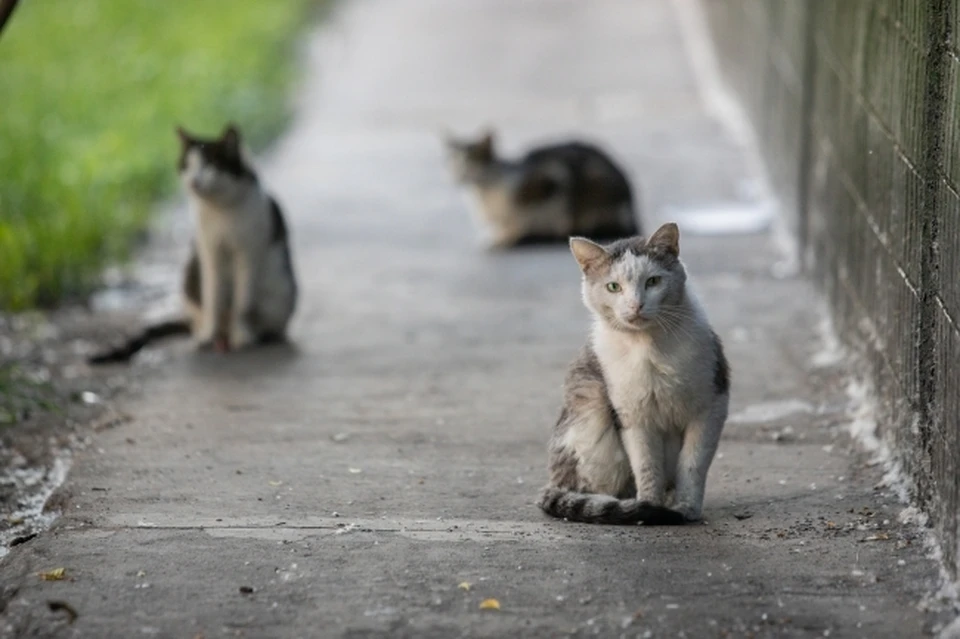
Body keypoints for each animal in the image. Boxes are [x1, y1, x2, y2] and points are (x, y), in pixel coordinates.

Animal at [86, 124, 296, 364]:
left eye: (210, 165)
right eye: (187, 166)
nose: (194, 181)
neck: (219, 210)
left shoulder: (248, 252)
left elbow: (242, 303)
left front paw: (241, 335)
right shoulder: (209, 251)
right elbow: (212, 298)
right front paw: (208, 335)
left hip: (280, 294)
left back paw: (255, 334)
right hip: (191, 279)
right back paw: (208, 334)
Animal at [444, 129, 640, 249]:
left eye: (472, 162)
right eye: (452, 163)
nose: (458, 175)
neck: (483, 193)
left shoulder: (546, 182)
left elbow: (520, 222)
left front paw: (505, 237)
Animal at [536, 224, 732, 524]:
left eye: (653, 282)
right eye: (613, 287)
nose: (635, 305)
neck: (648, 346)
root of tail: (553, 482)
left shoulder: (710, 407)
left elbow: (693, 465)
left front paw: (686, 508)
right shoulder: (633, 417)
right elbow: (647, 466)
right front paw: (648, 507)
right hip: (590, 419)